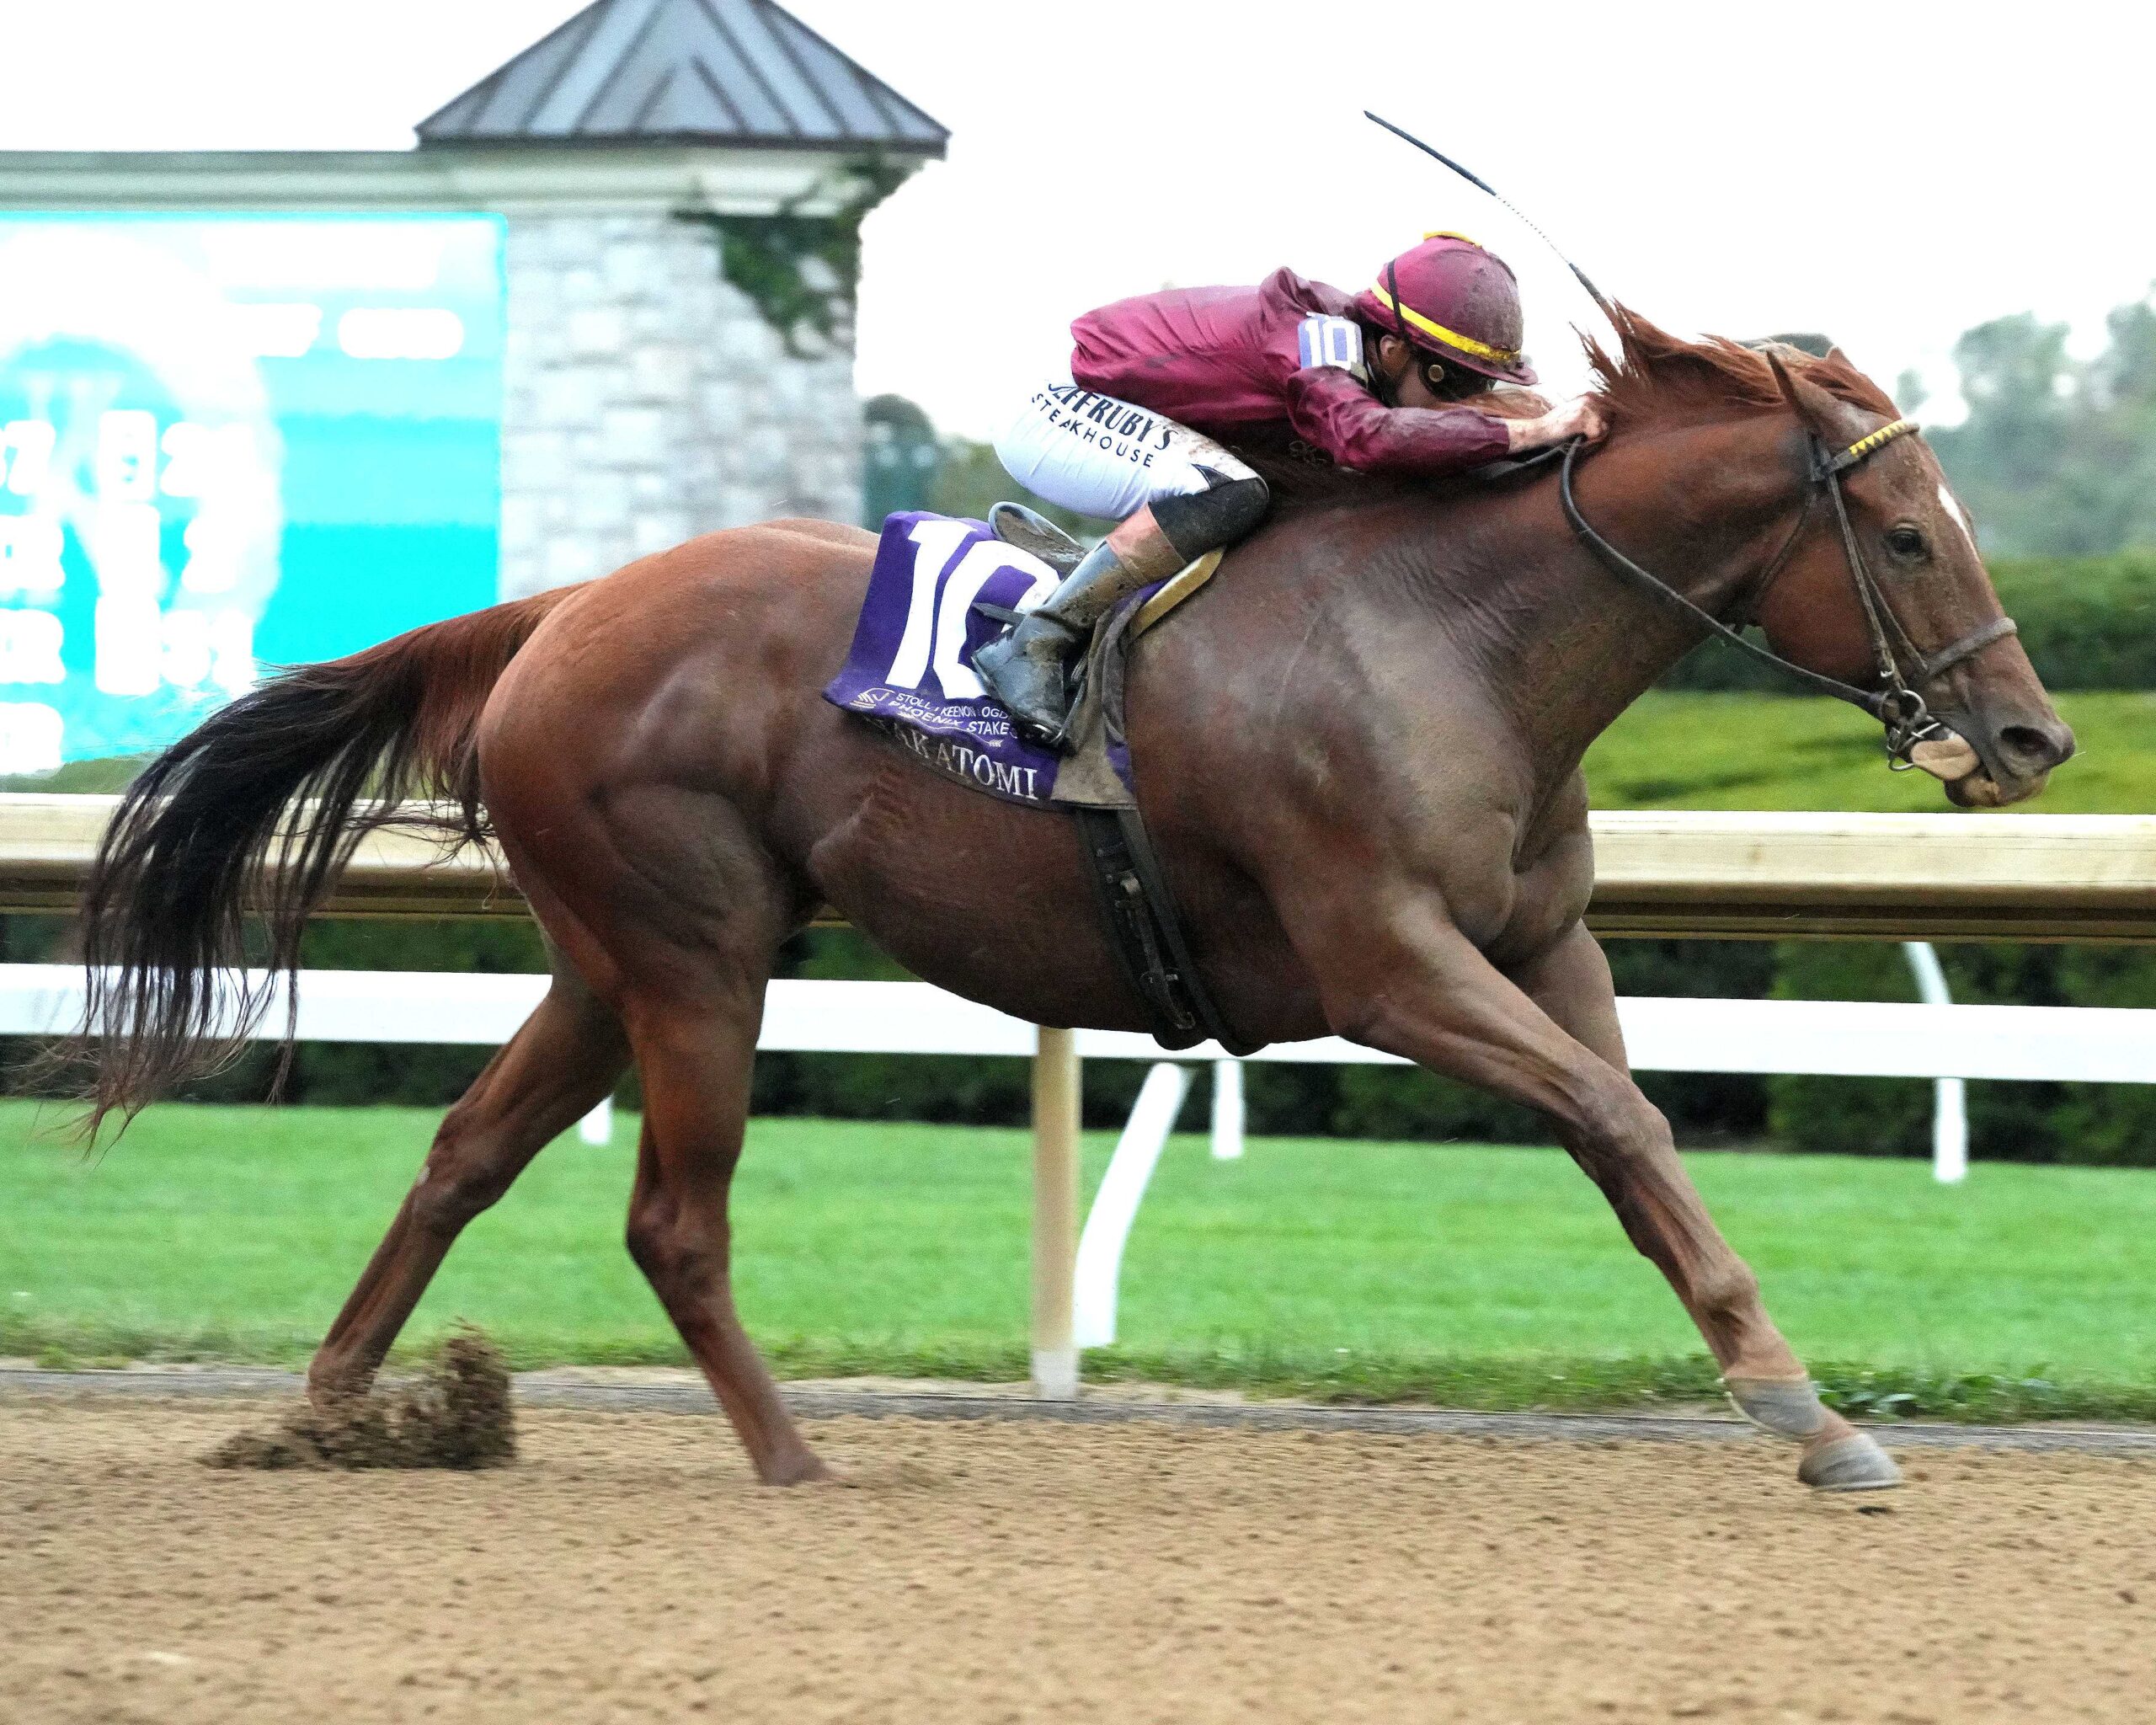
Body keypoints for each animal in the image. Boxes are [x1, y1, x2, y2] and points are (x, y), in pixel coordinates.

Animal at [72, 309, 2072, 1492]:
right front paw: (1803, 1410)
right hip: (697, 954)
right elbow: (1609, 1116)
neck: (1460, 637)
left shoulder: (1536, 945)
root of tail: (564, 607)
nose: (2029, 733)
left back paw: (332, 1413)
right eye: (1906, 533)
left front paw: (1798, 1396)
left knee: (464, 1155)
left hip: (610, 955)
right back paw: (793, 1459)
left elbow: (1629, 1136)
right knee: (669, 1220)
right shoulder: (1381, 960)